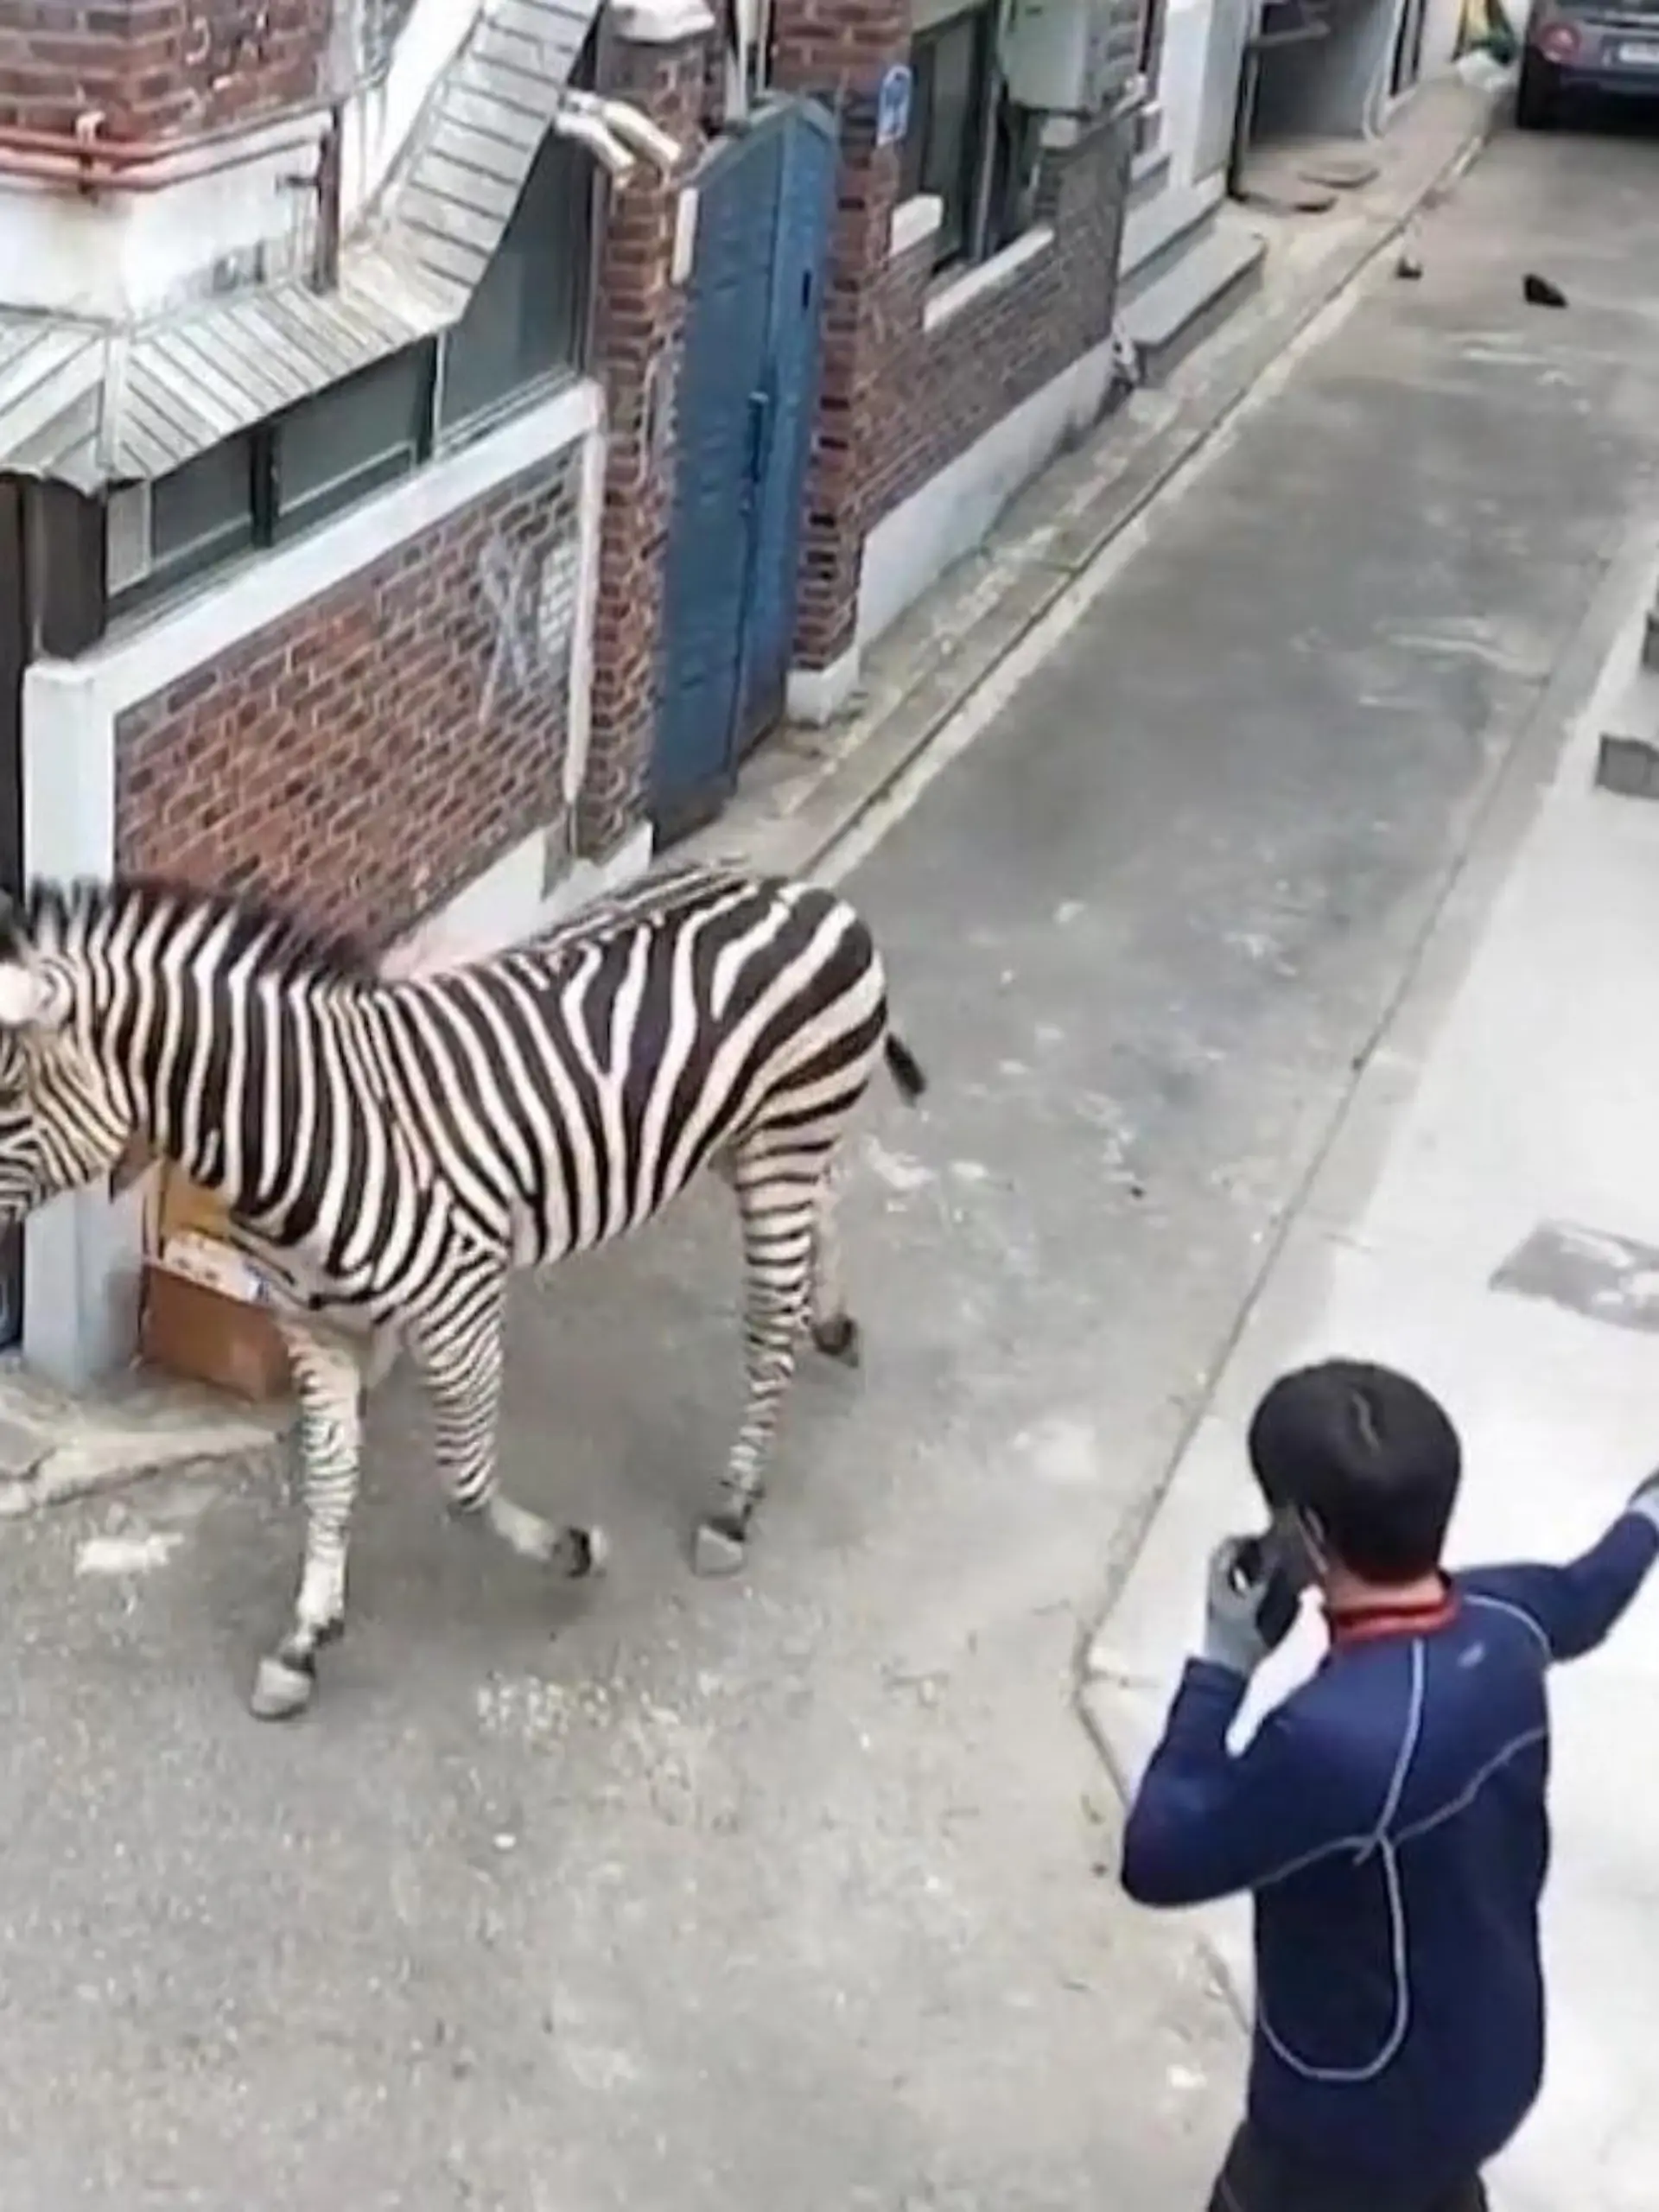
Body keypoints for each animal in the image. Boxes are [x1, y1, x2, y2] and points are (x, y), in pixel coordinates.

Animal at [0, 861, 927, 1721]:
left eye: (7, 1095)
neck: (309, 1127)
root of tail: (805, 892)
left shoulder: (461, 1307)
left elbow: (468, 1482)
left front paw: (572, 1549)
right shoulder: (310, 1324)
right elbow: (330, 1470)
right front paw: (305, 1638)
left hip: (780, 1141)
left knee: (770, 1321)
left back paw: (734, 1504)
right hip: (753, 1144)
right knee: (825, 1203)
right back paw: (833, 1323)